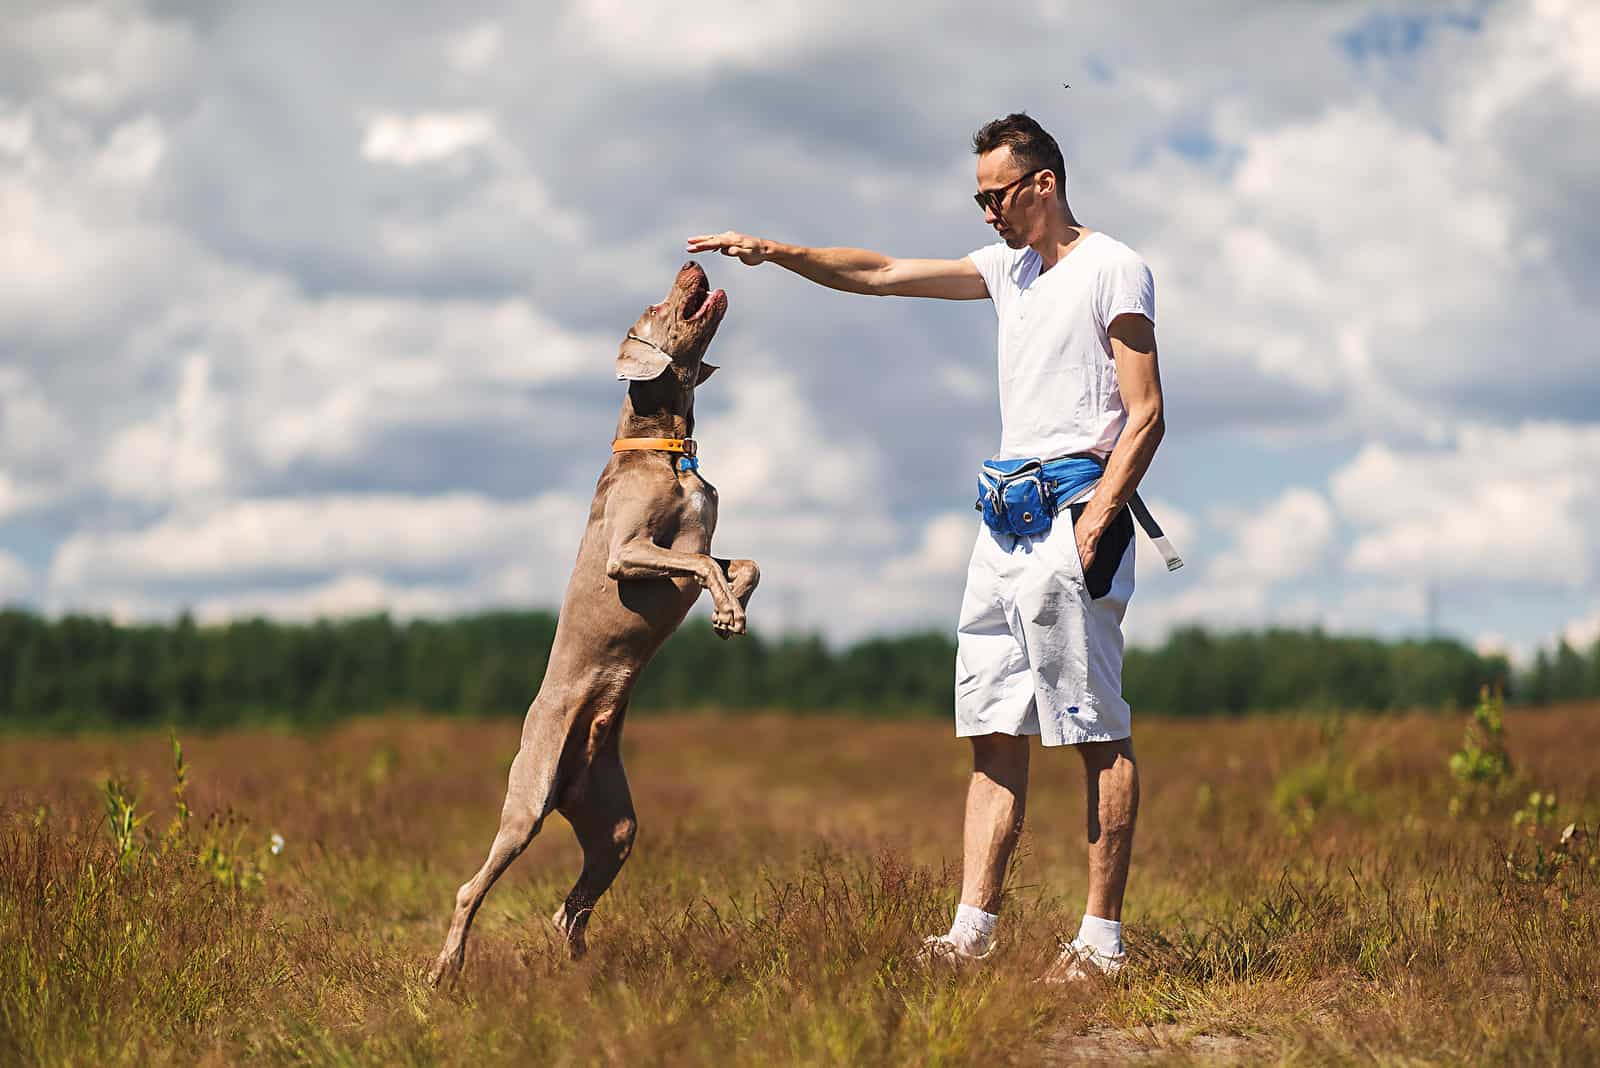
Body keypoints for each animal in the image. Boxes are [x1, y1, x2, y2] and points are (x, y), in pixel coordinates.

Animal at [428, 262, 758, 978]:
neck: (667, 447)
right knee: (471, 887)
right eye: (656, 304)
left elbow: (742, 564)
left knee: (571, 905)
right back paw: (446, 968)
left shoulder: (694, 546)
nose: (694, 263)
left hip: (614, 825)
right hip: (527, 802)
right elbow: (703, 565)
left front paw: (731, 614)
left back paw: (581, 969)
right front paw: (726, 612)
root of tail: (568, 781)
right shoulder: (627, 554)